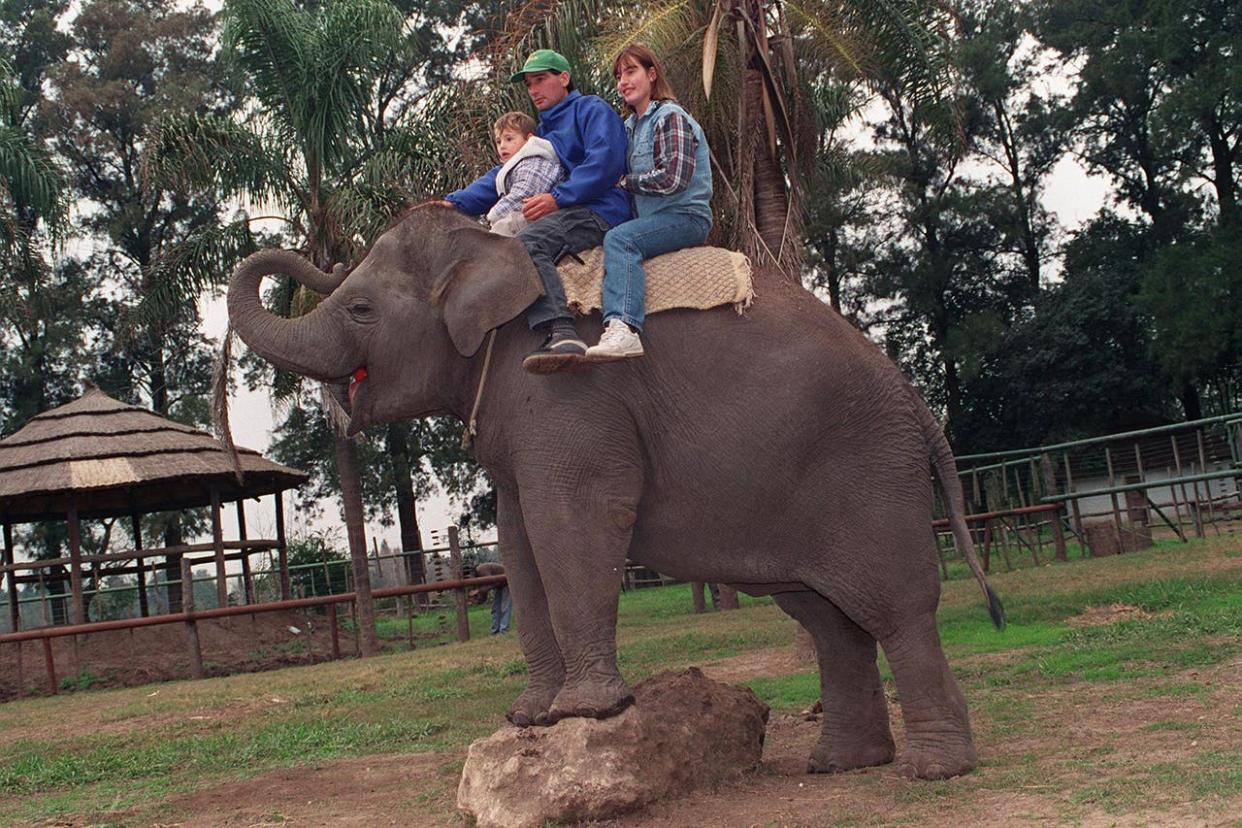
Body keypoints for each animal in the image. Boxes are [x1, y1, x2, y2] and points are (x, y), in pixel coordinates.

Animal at [228, 203, 1003, 779]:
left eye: (359, 307)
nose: (320, 257)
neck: (495, 250)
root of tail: (917, 404)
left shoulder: (567, 387)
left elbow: (569, 518)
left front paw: (585, 712)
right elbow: (519, 538)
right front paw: (530, 716)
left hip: (868, 470)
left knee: (896, 607)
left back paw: (935, 770)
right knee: (827, 619)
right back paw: (840, 764)